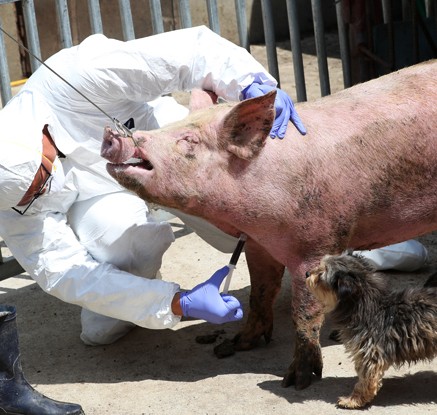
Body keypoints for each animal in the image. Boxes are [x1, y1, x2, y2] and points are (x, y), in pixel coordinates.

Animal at [100, 60, 436, 392]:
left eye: (189, 140)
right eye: (172, 126)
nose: (112, 133)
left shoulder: (315, 243)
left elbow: (304, 312)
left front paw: (296, 381)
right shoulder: (258, 243)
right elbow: (260, 292)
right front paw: (238, 343)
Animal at [304, 254, 434, 410]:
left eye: (321, 274)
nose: (307, 273)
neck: (367, 305)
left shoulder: (370, 353)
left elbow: (365, 380)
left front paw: (354, 400)